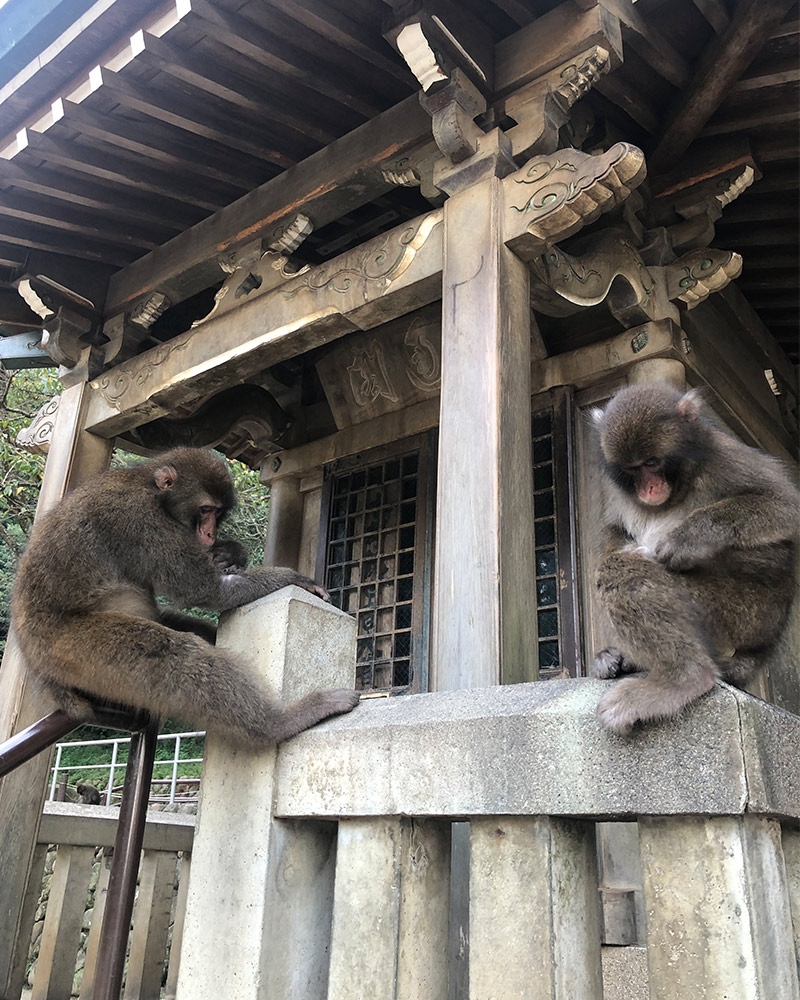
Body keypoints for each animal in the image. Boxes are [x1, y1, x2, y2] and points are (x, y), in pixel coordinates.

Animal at [8, 450, 360, 748]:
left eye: (218, 514)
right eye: (205, 510)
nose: (208, 534)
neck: (149, 487)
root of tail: (34, 661)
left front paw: (229, 553)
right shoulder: (140, 517)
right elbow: (206, 589)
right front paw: (295, 579)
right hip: (71, 650)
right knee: (174, 653)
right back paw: (279, 724)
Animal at [588, 382, 800, 736]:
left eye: (652, 462)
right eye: (632, 469)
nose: (648, 488)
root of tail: (762, 644)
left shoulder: (722, 455)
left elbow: (785, 505)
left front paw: (685, 542)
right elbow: (613, 529)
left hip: (735, 614)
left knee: (622, 571)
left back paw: (683, 678)